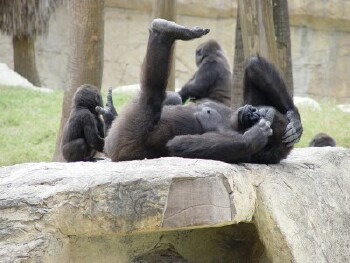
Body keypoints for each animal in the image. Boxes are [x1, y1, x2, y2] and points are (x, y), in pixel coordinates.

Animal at [104, 19, 304, 165]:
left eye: (257, 116)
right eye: (258, 111)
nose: (251, 112)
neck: (232, 120)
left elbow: (179, 144)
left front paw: (255, 136)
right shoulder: (244, 104)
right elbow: (254, 66)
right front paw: (294, 118)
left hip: (124, 140)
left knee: (151, 98)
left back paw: (163, 32)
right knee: (170, 98)